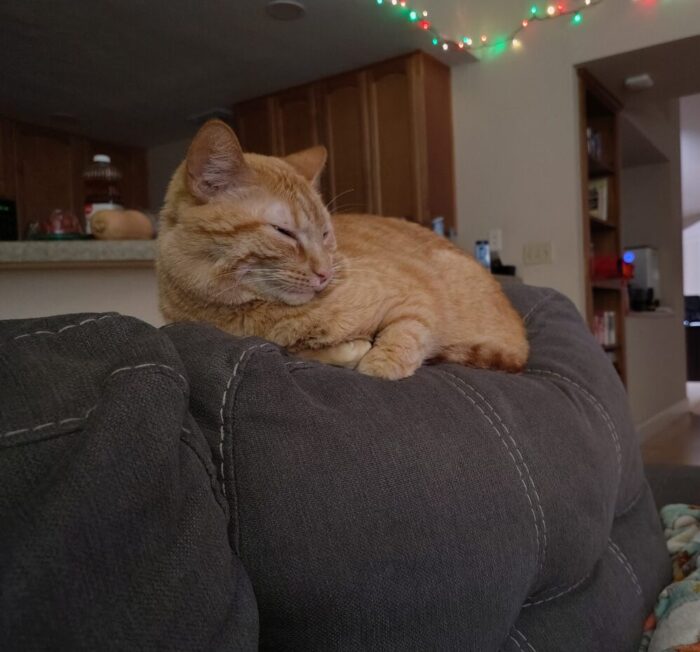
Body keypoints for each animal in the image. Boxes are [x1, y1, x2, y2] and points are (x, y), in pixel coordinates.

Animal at [156, 119, 528, 380]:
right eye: (284, 232)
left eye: (325, 233)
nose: (324, 273)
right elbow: (308, 352)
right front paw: (348, 349)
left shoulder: (417, 295)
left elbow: (408, 329)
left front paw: (379, 362)